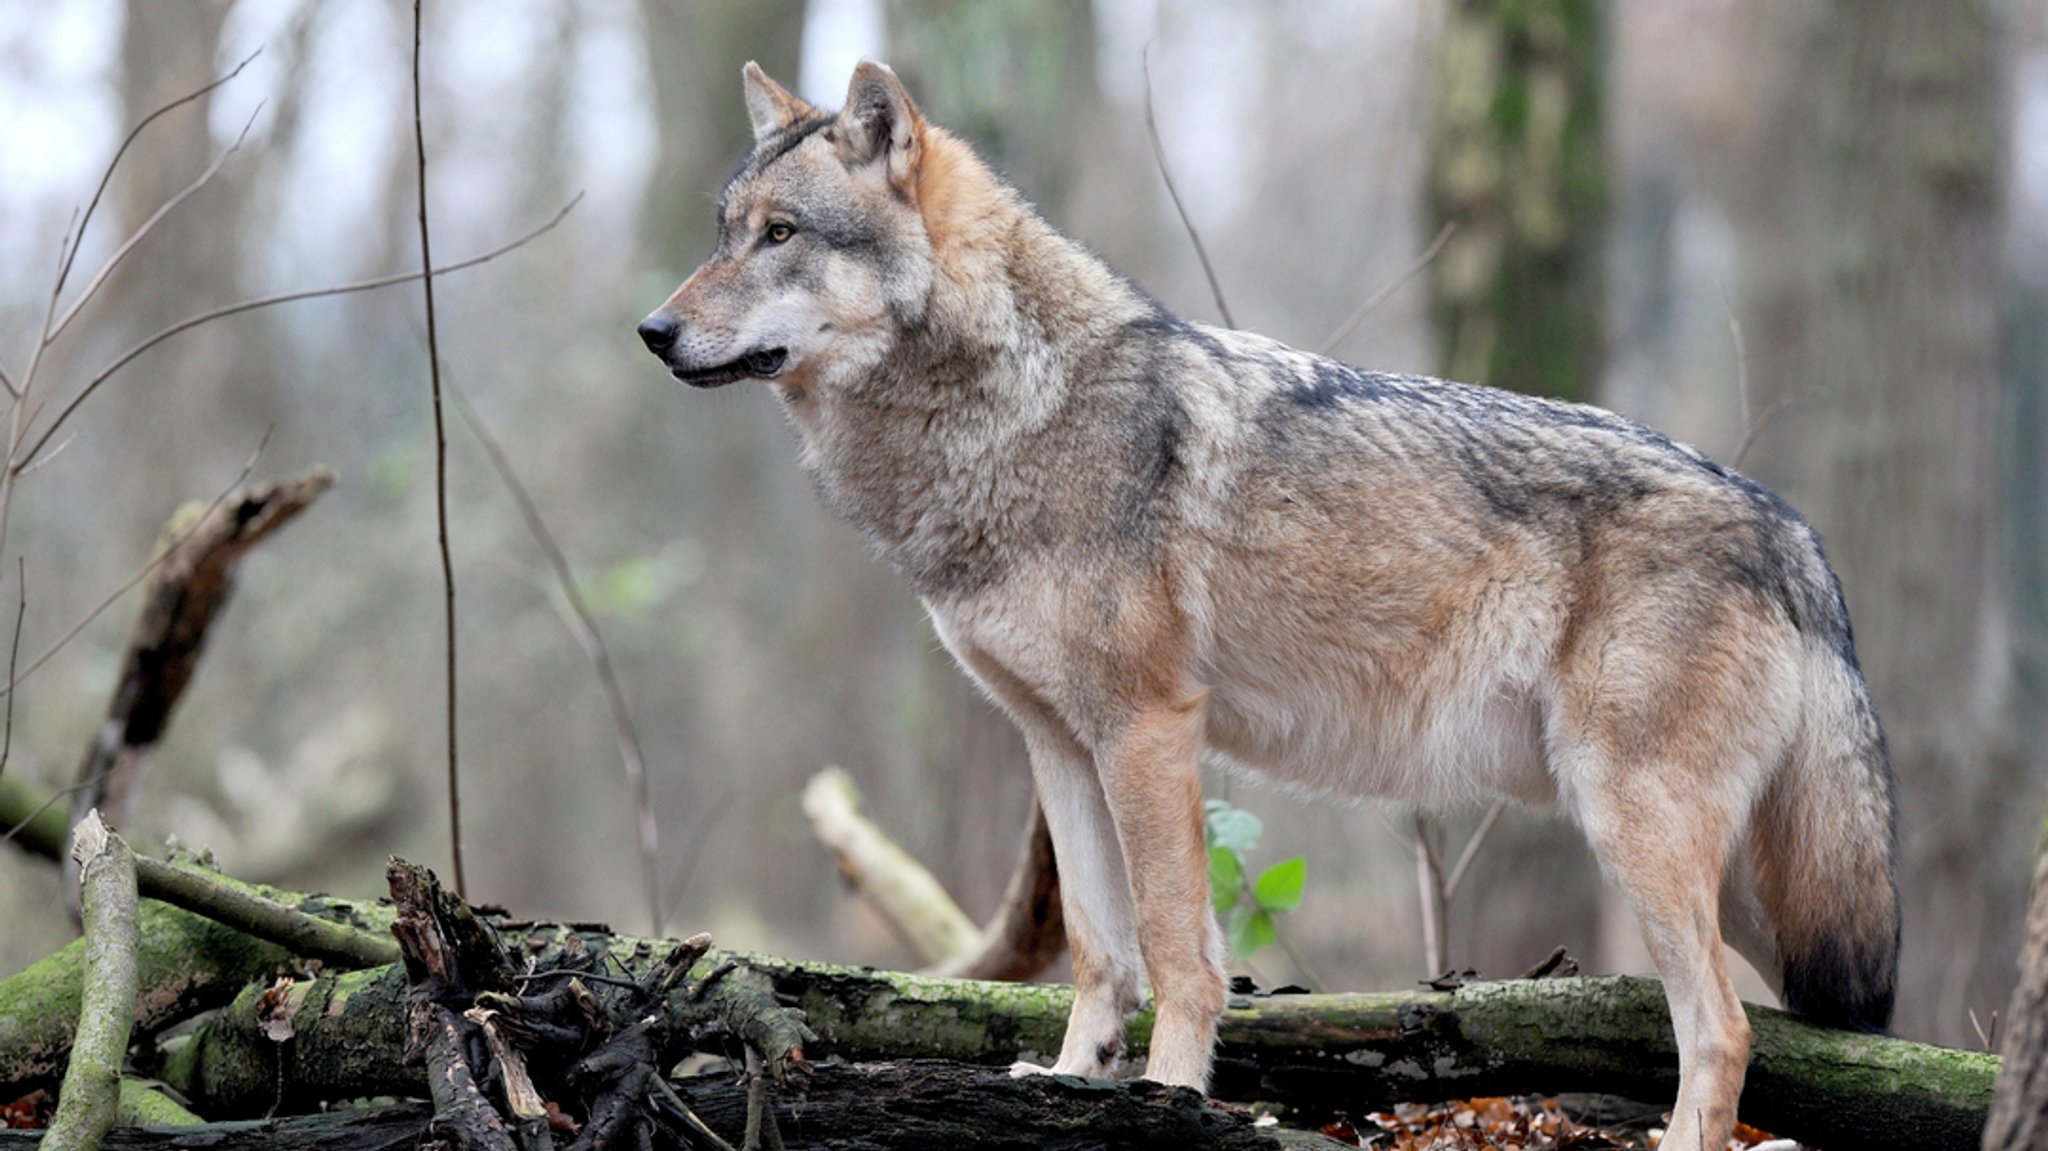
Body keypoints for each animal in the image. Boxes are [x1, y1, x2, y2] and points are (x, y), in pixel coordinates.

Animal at [638, 62, 1900, 1146]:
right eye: (722, 231)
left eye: (782, 234)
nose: (652, 331)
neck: (1012, 413)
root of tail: (1795, 531)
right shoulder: (1059, 743)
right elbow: (1097, 947)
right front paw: (1070, 1079)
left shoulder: (1148, 727)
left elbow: (1174, 947)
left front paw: (1165, 1093)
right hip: (1719, 871)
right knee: (1770, 1025)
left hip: (1636, 826)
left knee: (1722, 1031)